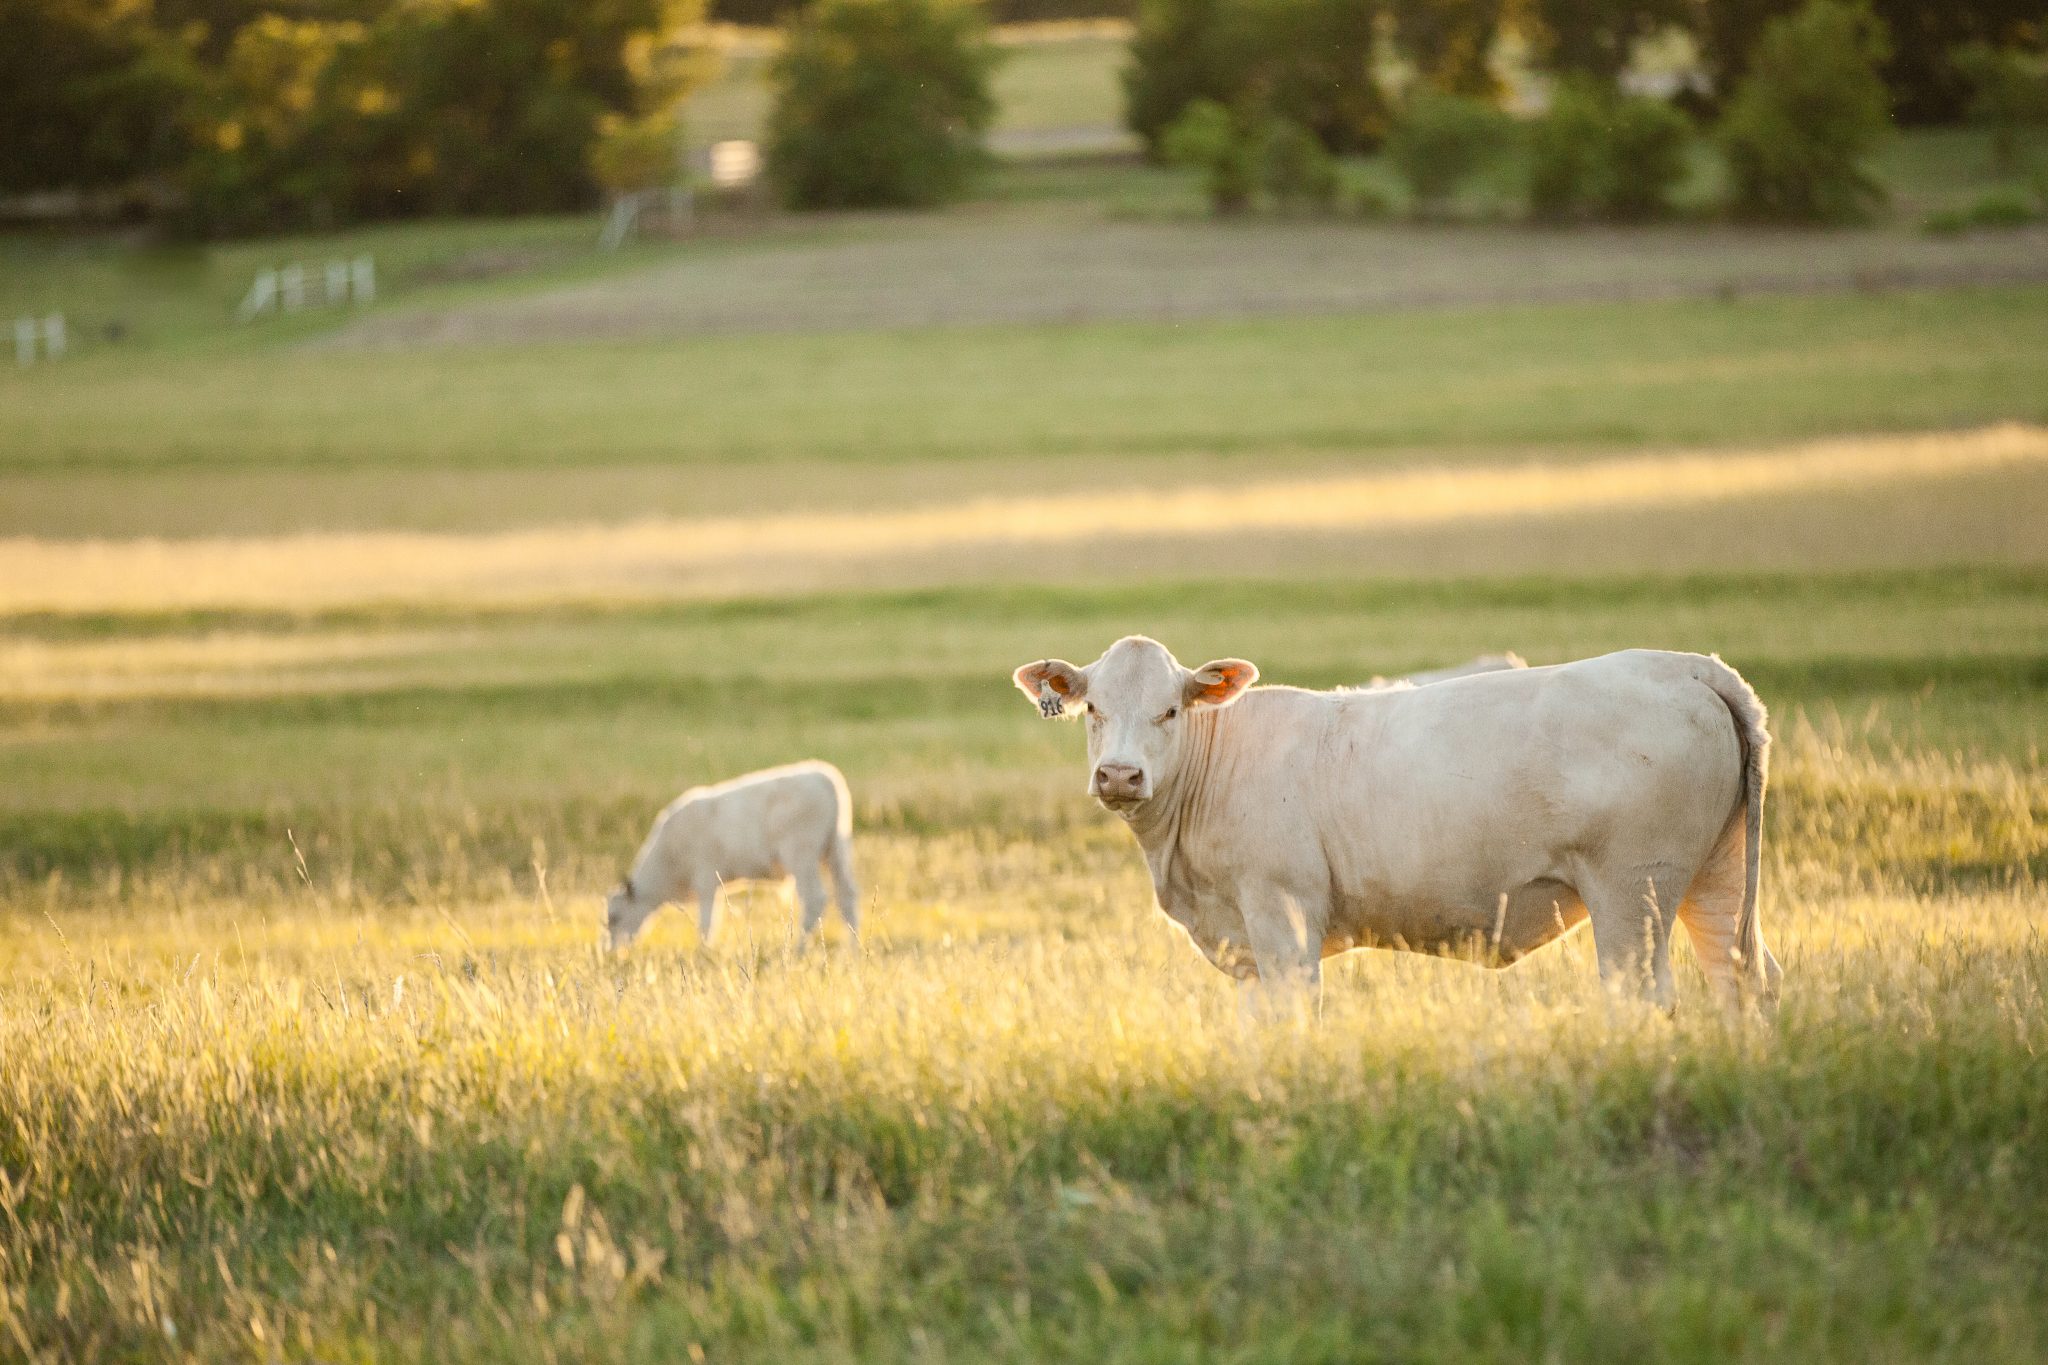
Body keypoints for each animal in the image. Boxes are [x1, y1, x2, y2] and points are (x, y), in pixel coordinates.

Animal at [603, 760, 860, 951]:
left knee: (815, 898)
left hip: (801, 856)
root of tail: (823, 776)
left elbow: (706, 924)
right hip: (836, 852)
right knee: (847, 896)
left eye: (614, 917)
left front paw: (704, 953)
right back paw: (854, 950)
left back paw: (798, 950)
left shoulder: (706, 881)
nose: (612, 952)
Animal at [1012, 638, 1778, 1011]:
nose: (1119, 776)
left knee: (1640, 995)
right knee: (1744, 978)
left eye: (1170, 709)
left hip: (1631, 894)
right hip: (1717, 877)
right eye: (1092, 710)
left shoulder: (1283, 918)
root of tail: (1687, 667)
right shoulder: (1246, 949)